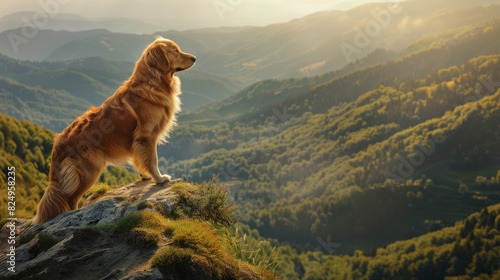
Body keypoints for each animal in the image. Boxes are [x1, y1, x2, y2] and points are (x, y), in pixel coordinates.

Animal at [33, 36, 195, 223]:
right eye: (175, 51)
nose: (194, 58)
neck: (152, 83)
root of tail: (57, 143)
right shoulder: (146, 136)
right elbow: (152, 159)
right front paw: (160, 178)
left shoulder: (137, 141)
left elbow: (140, 160)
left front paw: (145, 176)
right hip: (89, 171)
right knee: (71, 198)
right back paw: (74, 214)